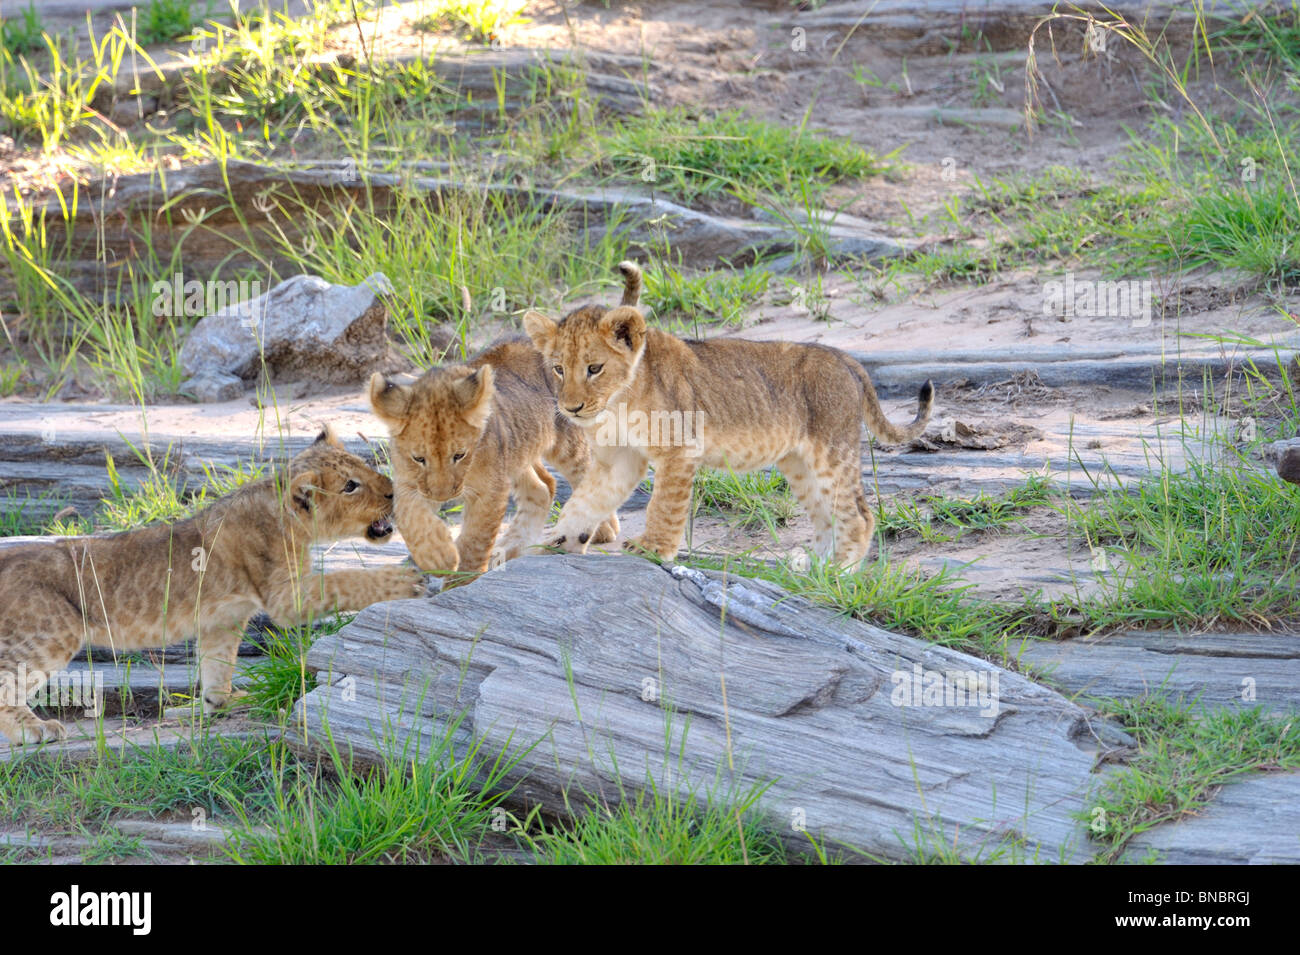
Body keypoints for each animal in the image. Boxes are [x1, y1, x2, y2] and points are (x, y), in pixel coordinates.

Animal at [0, 427, 424, 744]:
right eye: (351, 486)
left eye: (366, 466)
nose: (394, 492)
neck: (288, 517)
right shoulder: (287, 598)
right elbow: (348, 579)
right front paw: (408, 579)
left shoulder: (223, 619)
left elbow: (218, 665)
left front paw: (220, 703)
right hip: (51, 632)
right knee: (8, 683)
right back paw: (35, 730)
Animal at [368, 262, 641, 580]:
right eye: (418, 458)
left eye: (459, 455)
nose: (442, 495)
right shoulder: (407, 483)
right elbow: (413, 520)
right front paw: (437, 556)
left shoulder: (490, 489)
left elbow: (475, 540)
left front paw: (459, 579)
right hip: (517, 447)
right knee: (543, 487)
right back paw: (509, 549)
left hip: (565, 440)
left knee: (587, 475)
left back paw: (599, 529)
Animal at [522, 270, 933, 567]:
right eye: (558, 369)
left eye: (594, 368)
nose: (571, 408)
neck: (619, 402)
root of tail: (846, 358)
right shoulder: (620, 457)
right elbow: (585, 501)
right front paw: (558, 542)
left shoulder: (678, 450)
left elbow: (663, 506)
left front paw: (653, 549)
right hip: (799, 463)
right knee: (825, 515)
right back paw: (812, 570)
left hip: (832, 452)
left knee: (859, 515)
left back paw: (838, 574)